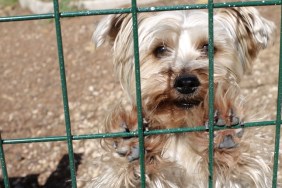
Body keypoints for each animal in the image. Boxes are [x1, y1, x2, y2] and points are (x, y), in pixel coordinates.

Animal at [90, 6, 276, 188]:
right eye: (160, 49)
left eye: (209, 48)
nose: (186, 82)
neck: (182, 128)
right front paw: (134, 144)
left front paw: (223, 132)